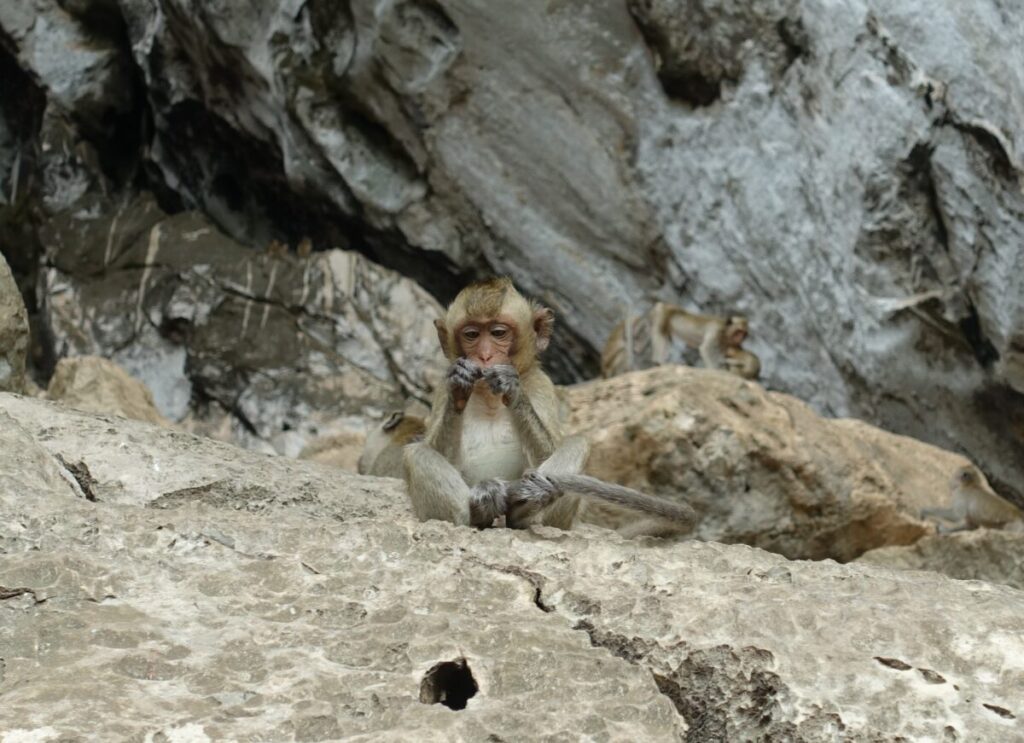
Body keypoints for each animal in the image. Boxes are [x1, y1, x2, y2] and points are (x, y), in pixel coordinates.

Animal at [399, 276, 696, 540]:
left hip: (560, 520)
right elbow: (439, 451)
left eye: (498, 333)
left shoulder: (541, 385)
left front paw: (512, 389)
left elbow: (550, 449)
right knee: (418, 453)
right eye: (471, 334)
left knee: (577, 444)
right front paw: (460, 385)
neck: (489, 400)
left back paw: (527, 507)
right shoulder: (440, 389)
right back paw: (480, 510)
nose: (484, 356)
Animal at [598, 302, 761, 380]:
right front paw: (716, 371)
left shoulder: (725, 344)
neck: (726, 333)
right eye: (739, 331)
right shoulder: (716, 332)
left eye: (744, 333)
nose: (740, 337)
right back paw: (659, 363)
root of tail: (661, 304)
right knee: (659, 335)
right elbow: (706, 350)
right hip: (662, 313)